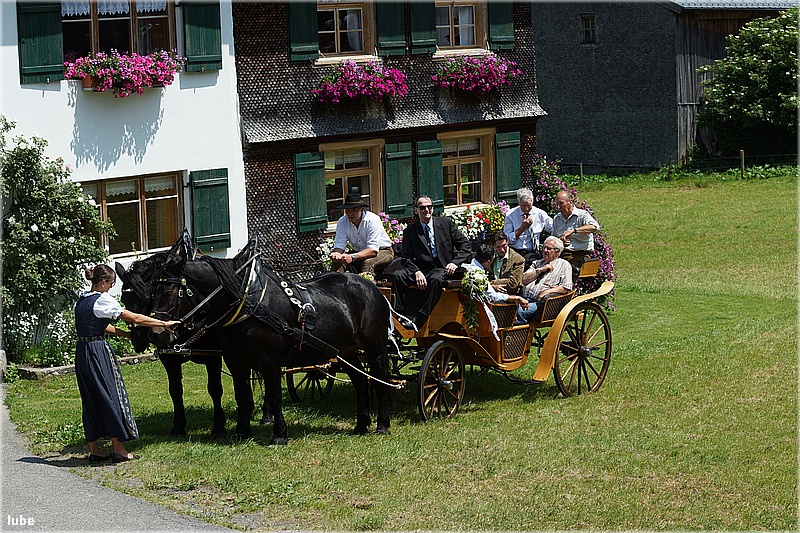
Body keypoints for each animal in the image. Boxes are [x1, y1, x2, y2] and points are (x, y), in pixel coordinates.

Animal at [146, 244, 392, 445]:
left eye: (168, 290)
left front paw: (279, 434)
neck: (249, 304)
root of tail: (371, 287)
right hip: (347, 349)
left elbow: (274, 397)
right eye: (152, 290)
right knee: (360, 381)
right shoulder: (235, 361)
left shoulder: (269, 362)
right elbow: (242, 395)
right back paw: (361, 424)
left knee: (381, 381)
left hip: (376, 347)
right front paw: (242, 432)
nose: (157, 334)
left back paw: (382, 424)